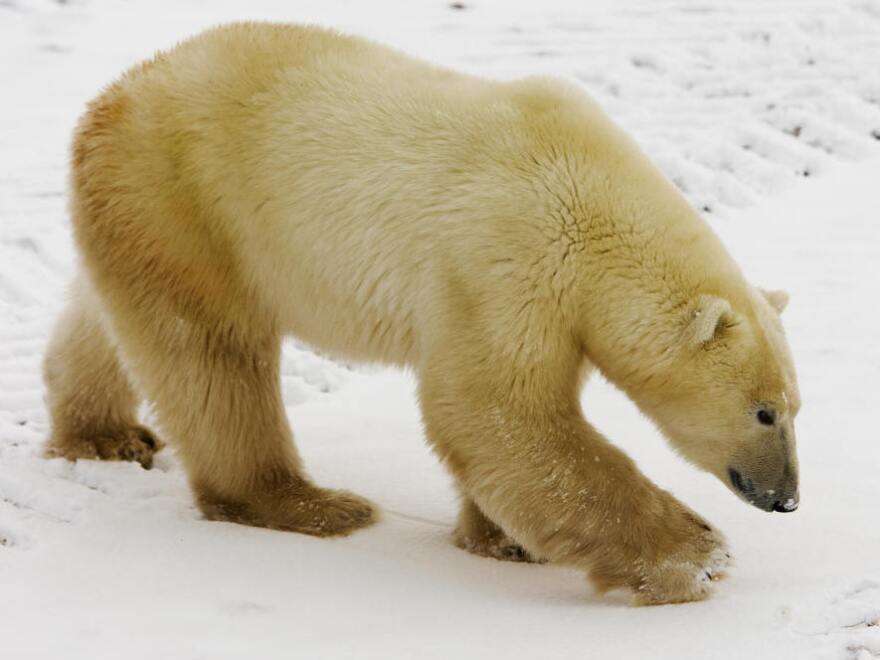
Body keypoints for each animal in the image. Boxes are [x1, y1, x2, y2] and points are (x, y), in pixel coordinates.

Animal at [42, 22, 800, 605]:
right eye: (764, 411)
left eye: (796, 407)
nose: (787, 498)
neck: (591, 193)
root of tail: (109, 101)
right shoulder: (510, 260)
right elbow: (494, 411)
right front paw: (697, 556)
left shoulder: (556, 302)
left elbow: (510, 422)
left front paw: (501, 538)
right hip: (193, 202)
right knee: (212, 358)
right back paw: (314, 504)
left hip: (145, 214)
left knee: (109, 320)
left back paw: (105, 435)